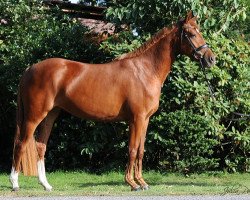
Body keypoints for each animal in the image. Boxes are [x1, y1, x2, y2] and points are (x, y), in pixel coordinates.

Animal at [9, 11, 215, 191]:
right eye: (191, 34)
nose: (211, 59)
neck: (145, 70)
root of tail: (30, 69)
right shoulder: (137, 119)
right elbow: (132, 150)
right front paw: (132, 184)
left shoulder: (145, 120)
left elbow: (141, 150)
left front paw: (142, 182)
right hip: (34, 116)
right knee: (21, 143)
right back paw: (15, 184)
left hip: (50, 114)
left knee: (40, 146)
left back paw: (46, 185)